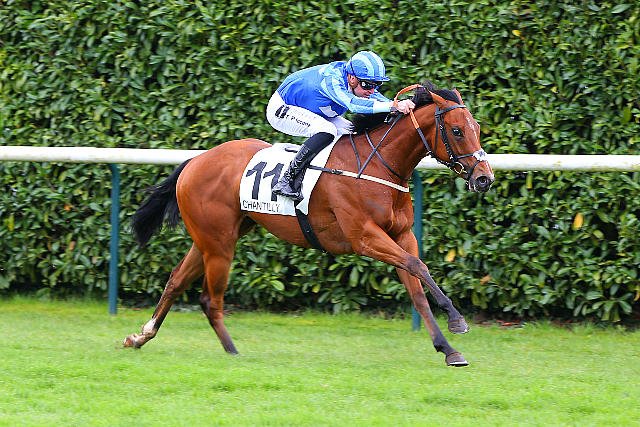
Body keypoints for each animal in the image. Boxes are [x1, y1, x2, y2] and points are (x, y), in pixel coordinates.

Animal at [123, 82, 495, 367]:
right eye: (457, 131)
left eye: (477, 129)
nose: (484, 179)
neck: (379, 165)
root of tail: (195, 161)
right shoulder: (364, 237)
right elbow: (417, 267)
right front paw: (457, 320)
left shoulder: (401, 235)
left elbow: (416, 285)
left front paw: (448, 349)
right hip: (218, 243)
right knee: (209, 300)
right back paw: (233, 352)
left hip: (215, 236)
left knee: (175, 281)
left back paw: (140, 336)